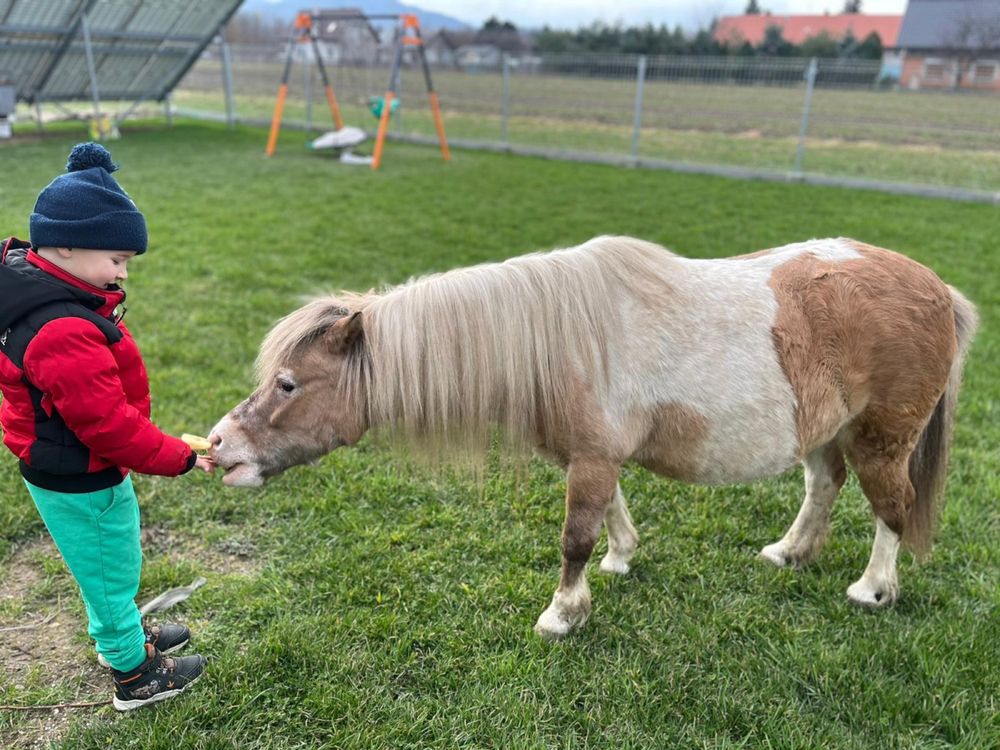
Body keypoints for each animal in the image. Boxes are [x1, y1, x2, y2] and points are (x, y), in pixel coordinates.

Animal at [209, 239, 976, 640]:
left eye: (287, 384)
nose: (219, 447)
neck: (553, 340)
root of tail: (939, 290)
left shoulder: (592, 459)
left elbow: (574, 536)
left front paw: (562, 613)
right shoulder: (593, 458)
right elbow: (609, 515)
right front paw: (621, 561)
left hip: (882, 439)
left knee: (893, 509)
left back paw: (872, 590)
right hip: (824, 429)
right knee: (823, 485)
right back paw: (789, 553)